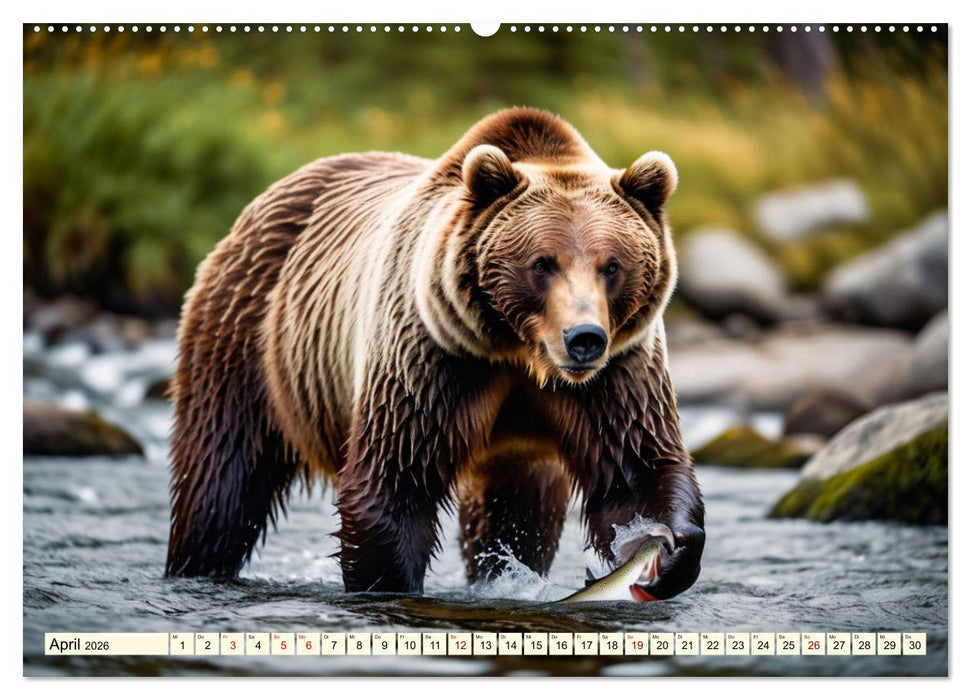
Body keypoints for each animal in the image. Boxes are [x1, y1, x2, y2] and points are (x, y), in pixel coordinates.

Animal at [165, 107, 705, 600]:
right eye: (542, 263)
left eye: (611, 265)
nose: (584, 337)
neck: (518, 352)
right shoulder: (433, 357)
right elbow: (395, 480)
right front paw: (389, 583)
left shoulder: (617, 372)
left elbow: (635, 466)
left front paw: (666, 550)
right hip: (250, 337)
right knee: (222, 478)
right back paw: (197, 564)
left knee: (518, 513)